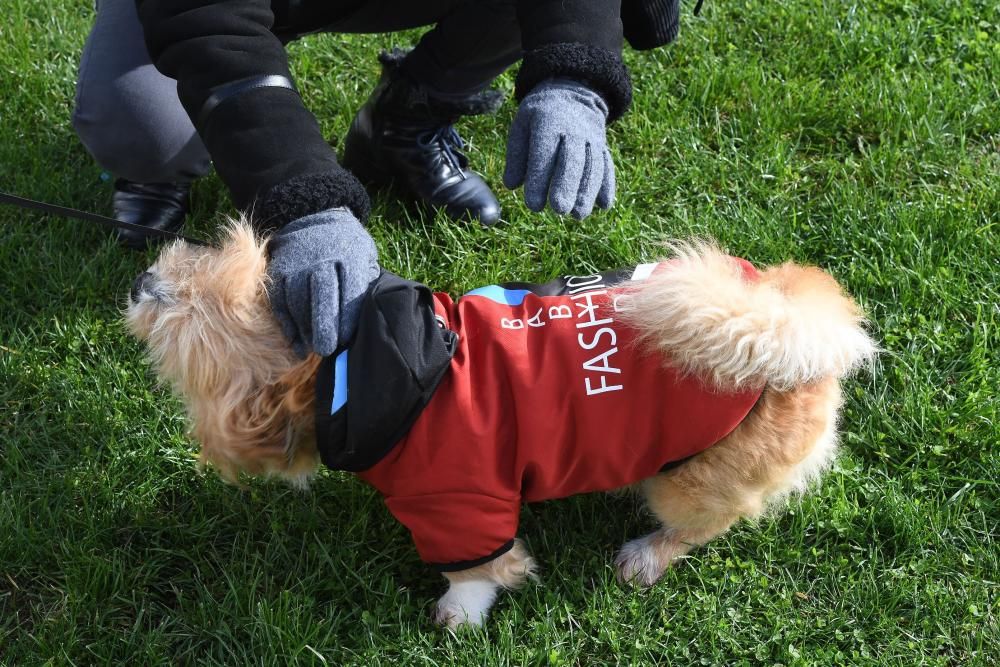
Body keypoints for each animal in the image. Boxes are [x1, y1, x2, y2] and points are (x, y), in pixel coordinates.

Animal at [125, 223, 876, 632]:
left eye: (189, 315)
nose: (141, 279)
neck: (373, 363)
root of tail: (801, 328)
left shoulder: (460, 503)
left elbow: (481, 568)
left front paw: (458, 614)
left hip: (692, 483)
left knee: (700, 525)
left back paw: (646, 554)